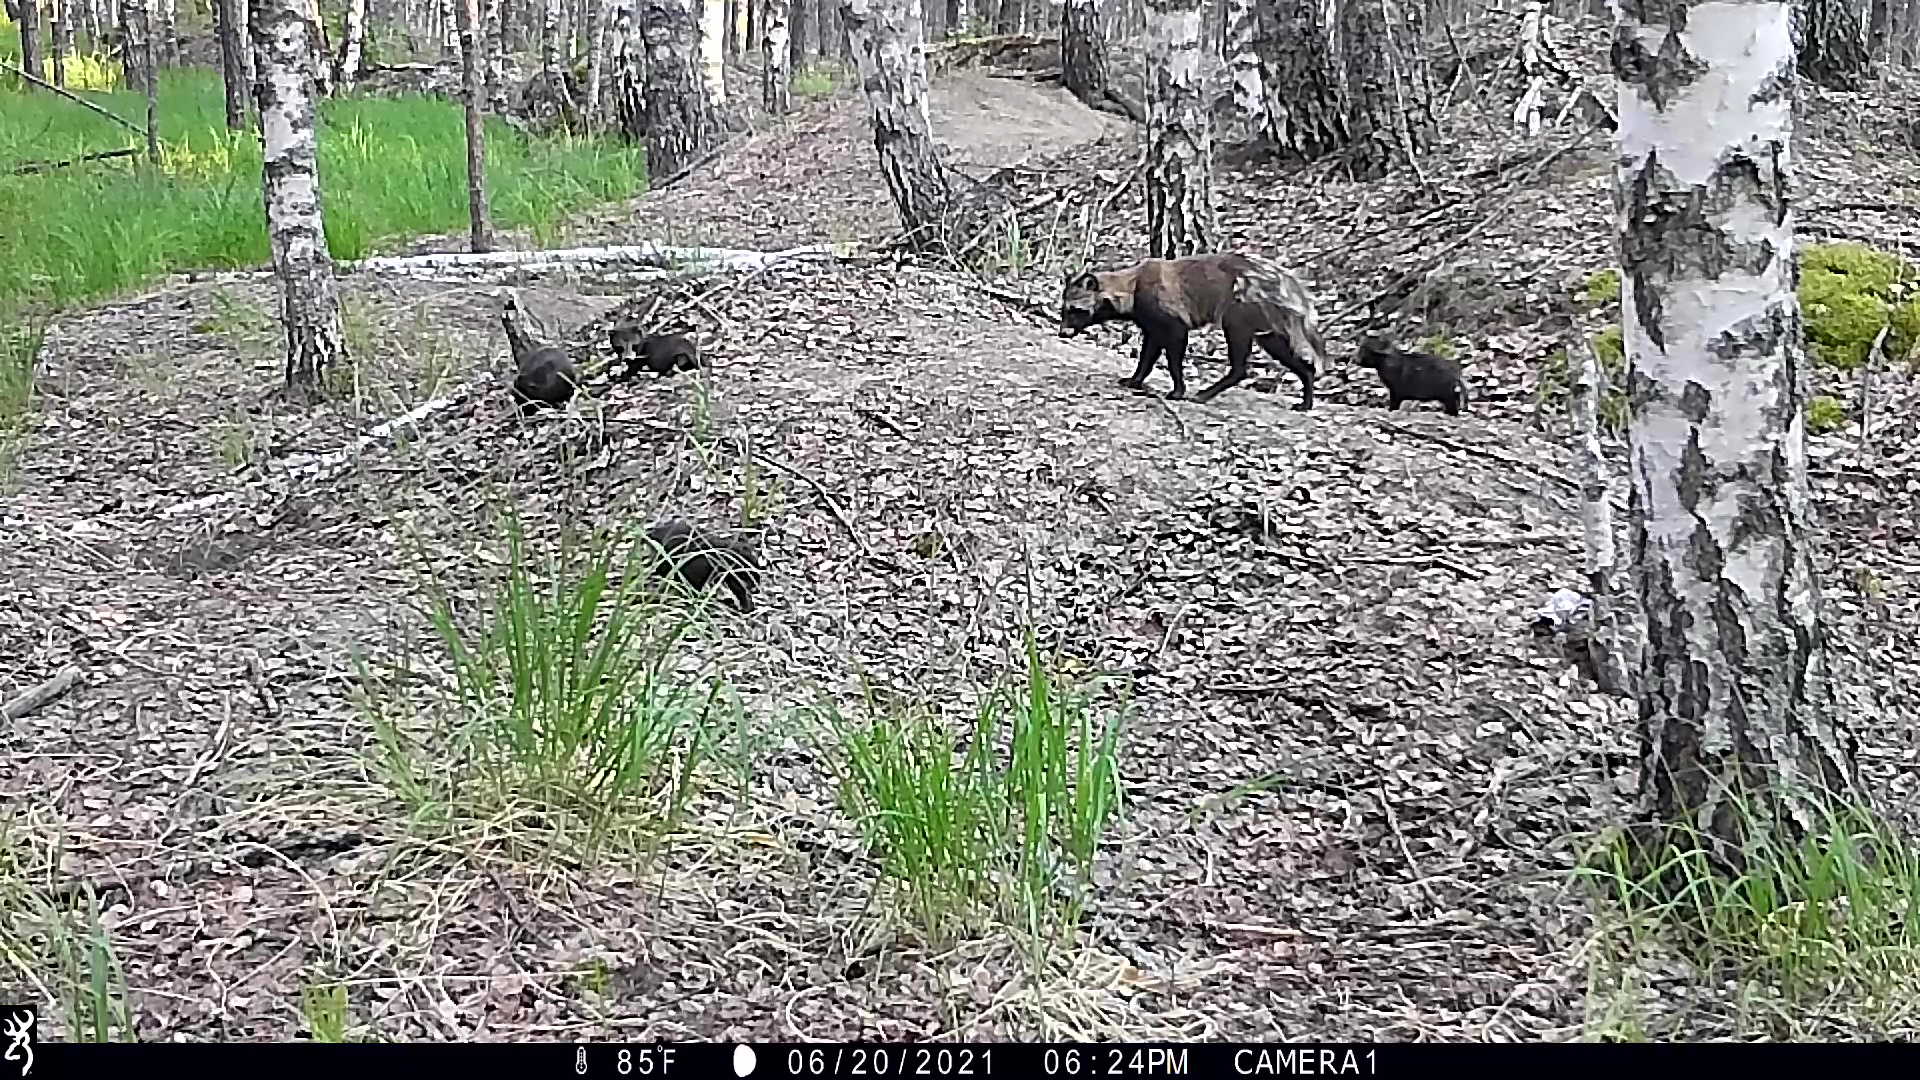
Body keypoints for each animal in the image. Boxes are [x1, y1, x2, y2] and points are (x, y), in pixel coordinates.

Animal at [1059, 251, 1328, 407]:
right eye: (1063, 309)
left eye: (1074, 310)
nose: (1062, 332)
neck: (1130, 284)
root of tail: (1281, 278)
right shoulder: (1151, 325)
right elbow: (1148, 354)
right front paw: (1136, 378)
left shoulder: (1171, 319)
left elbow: (1173, 356)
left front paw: (1178, 388)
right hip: (1266, 324)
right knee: (1284, 351)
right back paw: (1307, 388)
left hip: (1240, 311)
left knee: (1240, 363)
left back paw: (1208, 392)